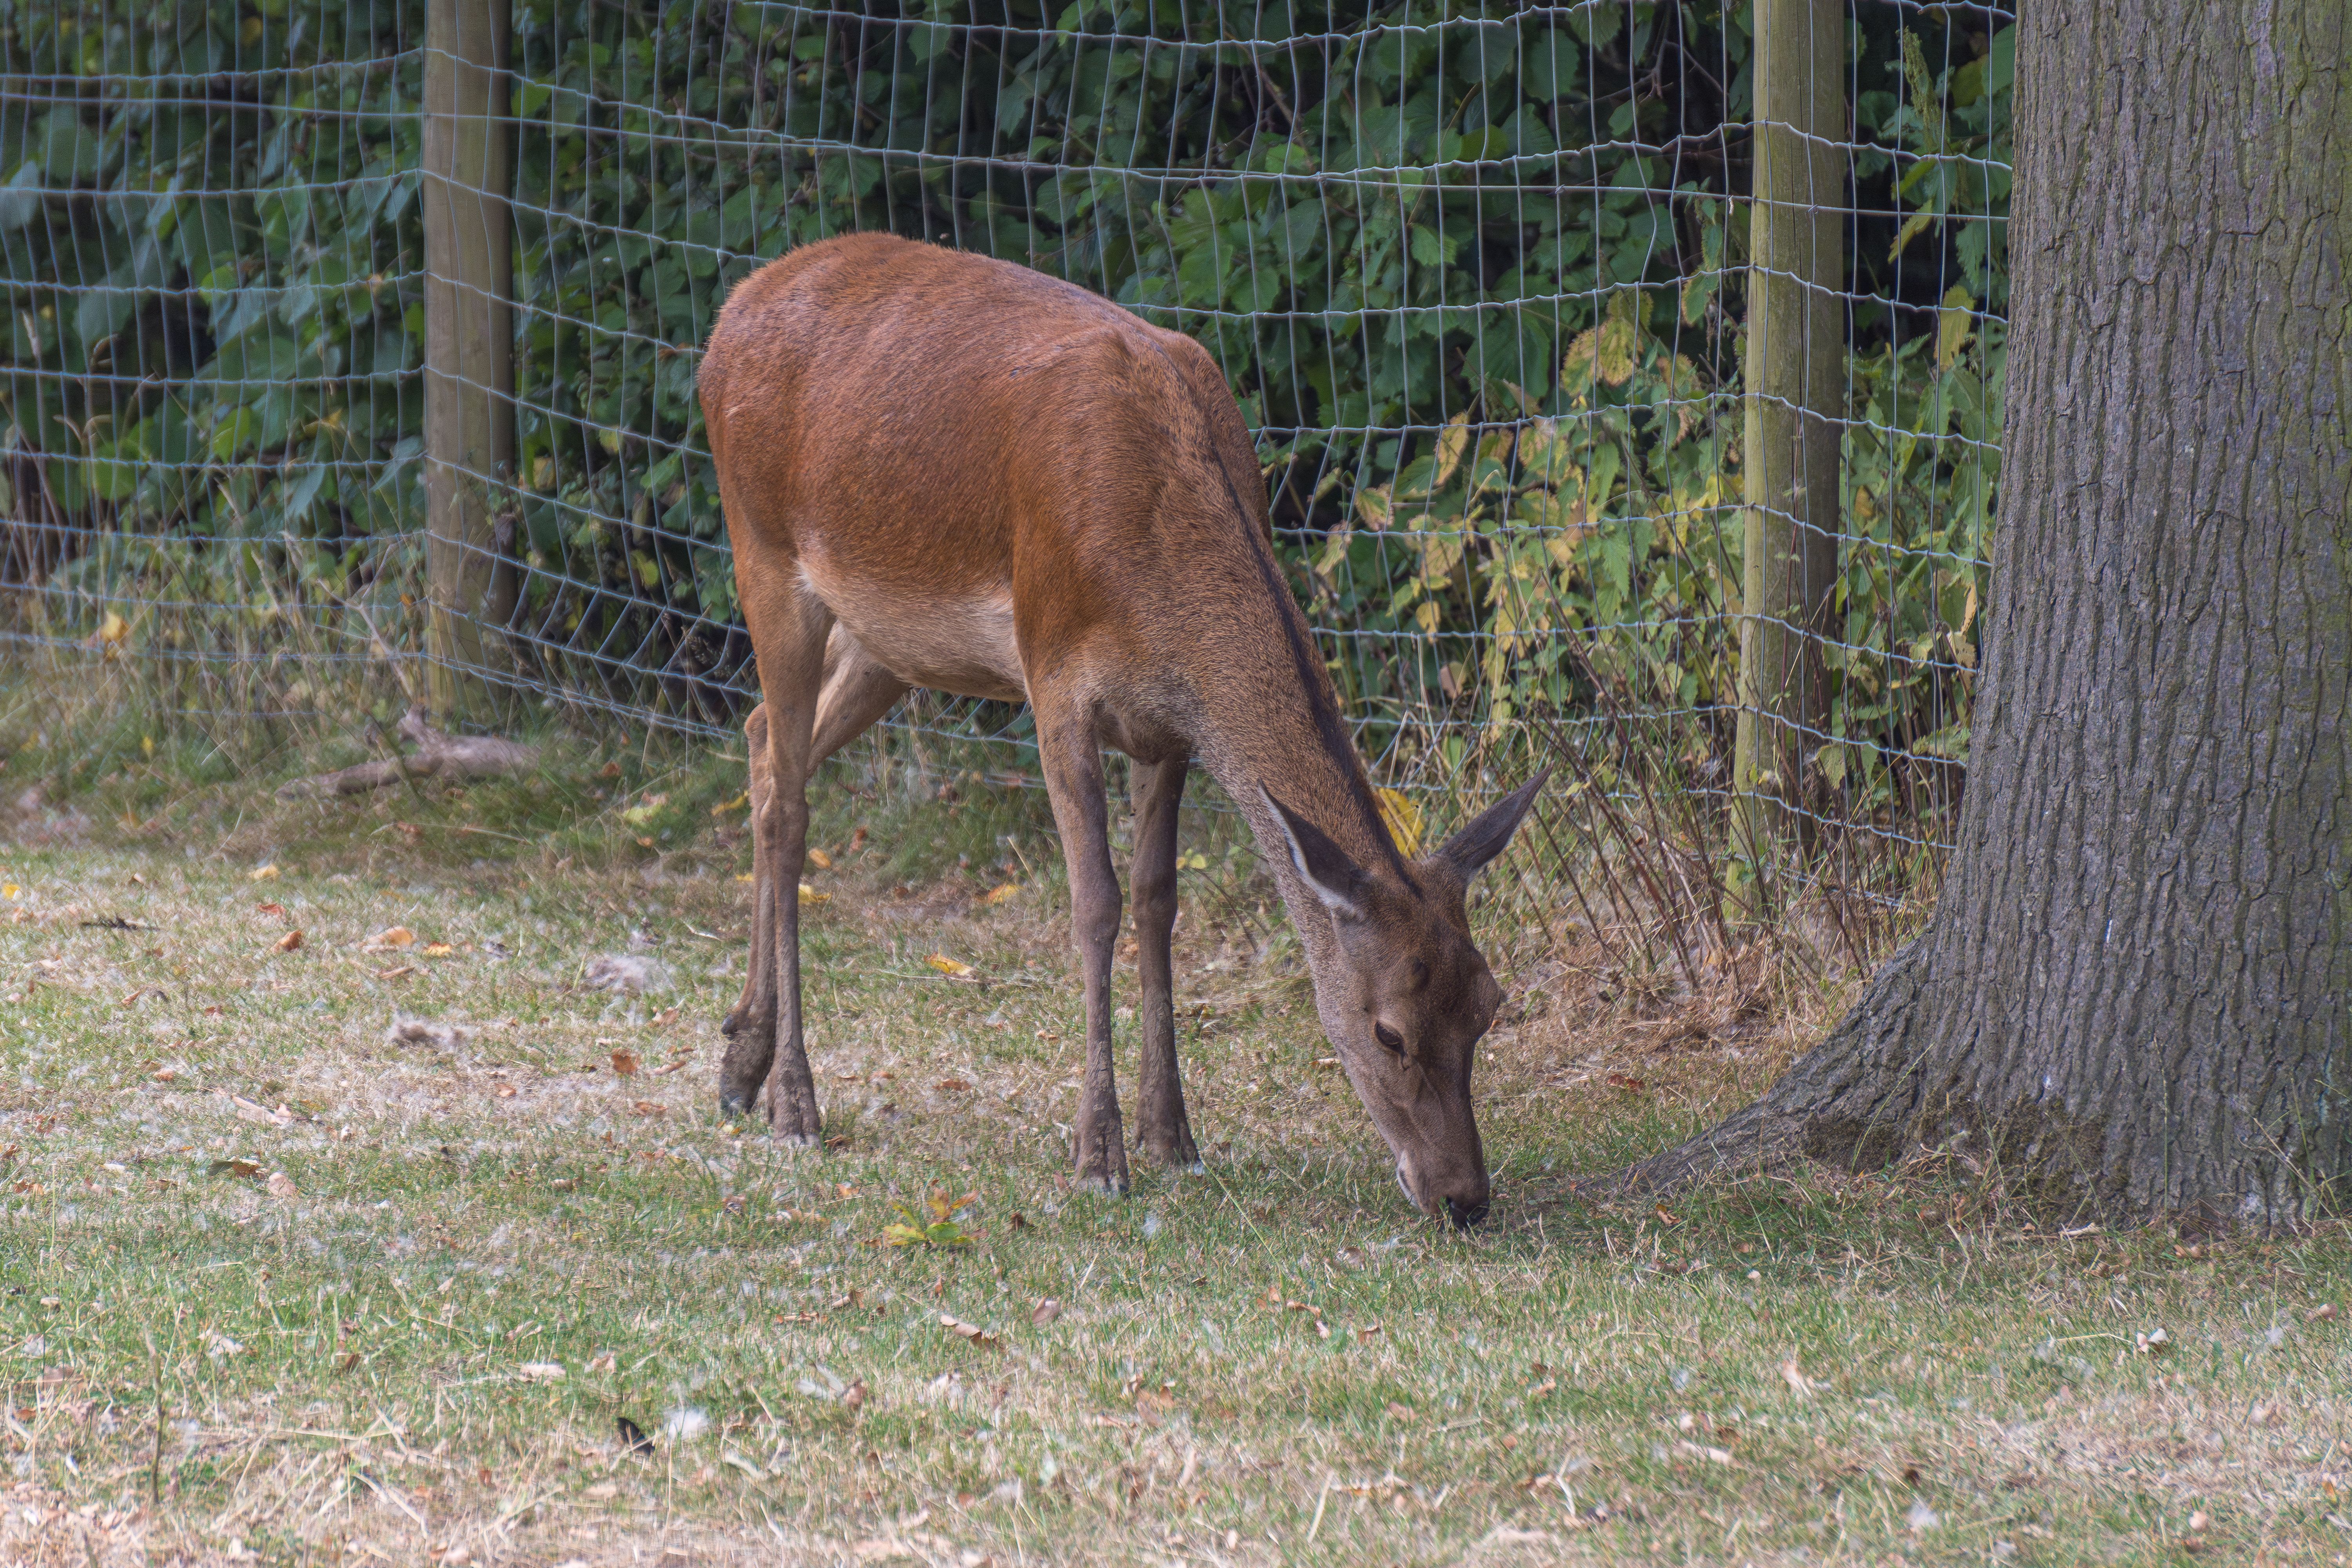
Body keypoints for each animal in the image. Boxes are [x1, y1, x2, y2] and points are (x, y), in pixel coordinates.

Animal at [702, 233, 1546, 1226]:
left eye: (1489, 1004)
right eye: (1389, 1030)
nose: (1464, 1195)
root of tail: (733, 309)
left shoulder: (1170, 727)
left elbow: (1156, 899)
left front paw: (1172, 1134)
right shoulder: (1055, 676)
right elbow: (1096, 902)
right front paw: (1099, 1154)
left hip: (886, 644)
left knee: (761, 740)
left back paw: (740, 1059)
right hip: (760, 551)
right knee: (790, 810)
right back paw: (794, 1100)